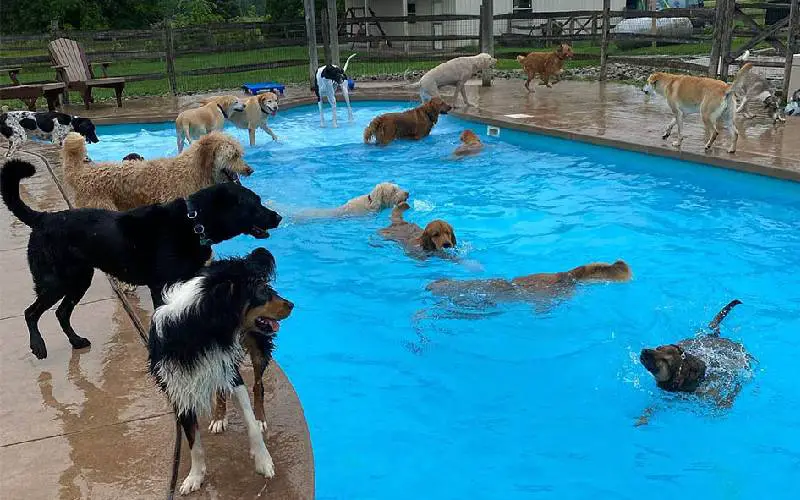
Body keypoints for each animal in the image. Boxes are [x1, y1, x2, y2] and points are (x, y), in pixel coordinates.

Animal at [0, 160, 282, 360]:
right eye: (255, 204)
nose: (278, 217)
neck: (194, 223)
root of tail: (42, 218)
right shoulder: (162, 287)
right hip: (55, 282)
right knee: (31, 312)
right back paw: (38, 345)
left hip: (79, 280)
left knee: (61, 312)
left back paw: (76, 341)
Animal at [149, 248, 294, 494]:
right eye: (261, 291)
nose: (291, 304)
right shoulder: (179, 389)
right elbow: (194, 443)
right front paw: (195, 476)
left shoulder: (232, 374)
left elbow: (250, 422)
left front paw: (263, 461)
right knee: (221, 390)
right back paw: (219, 417)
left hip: (257, 347)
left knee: (258, 385)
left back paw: (261, 418)